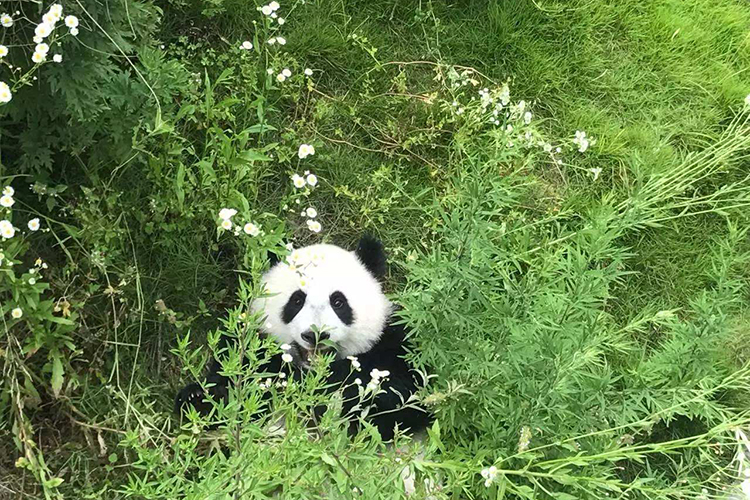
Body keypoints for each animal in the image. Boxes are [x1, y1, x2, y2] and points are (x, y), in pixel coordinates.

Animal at [176, 233, 432, 438]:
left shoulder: (393, 342)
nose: (316, 335)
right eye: (297, 300)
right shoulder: (248, 347)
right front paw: (199, 397)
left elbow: (404, 398)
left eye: (338, 302)